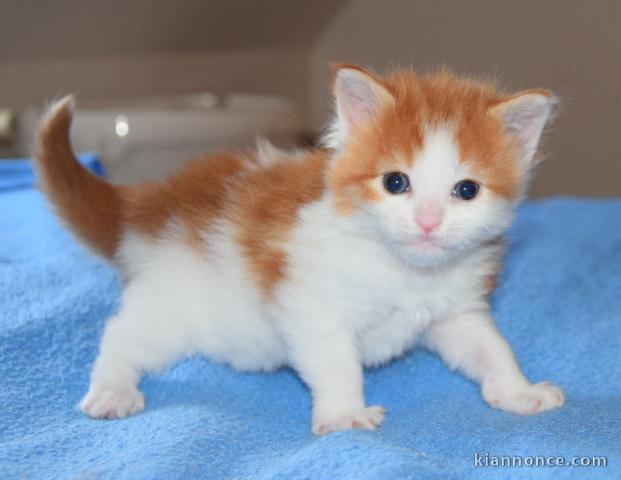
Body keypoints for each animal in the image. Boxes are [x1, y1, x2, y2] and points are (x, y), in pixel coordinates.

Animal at [36, 63, 564, 436]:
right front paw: (346, 414)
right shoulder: (312, 306)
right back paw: (112, 390)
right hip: (170, 303)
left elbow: (490, 347)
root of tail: (153, 200)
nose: (428, 221)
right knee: (121, 336)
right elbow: (336, 362)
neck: (401, 267)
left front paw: (519, 391)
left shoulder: (452, 311)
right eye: (395, 182)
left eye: (466, 190)